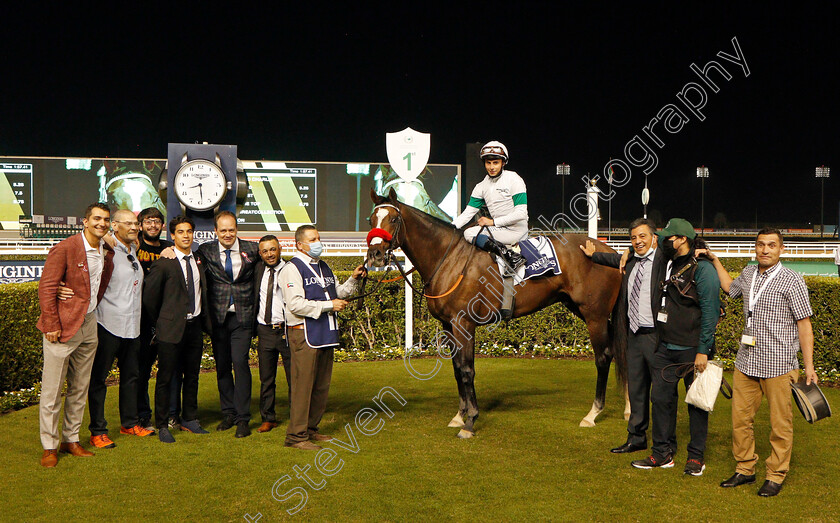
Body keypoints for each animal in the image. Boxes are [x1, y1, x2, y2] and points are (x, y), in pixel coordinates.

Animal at [364, 190, 628, 440]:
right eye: (371, 219)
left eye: (394, 218)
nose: (375, 254)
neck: (449, 260)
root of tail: (608, 251)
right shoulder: (448, 325)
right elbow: (457, 369)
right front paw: (459, 416)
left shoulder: (464, 323)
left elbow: (467, 370)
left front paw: (470, 421)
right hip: (583, 309)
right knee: (619, 350)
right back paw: (627, 408)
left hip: (594, 315)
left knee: (603, 357)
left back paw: (593, 413)